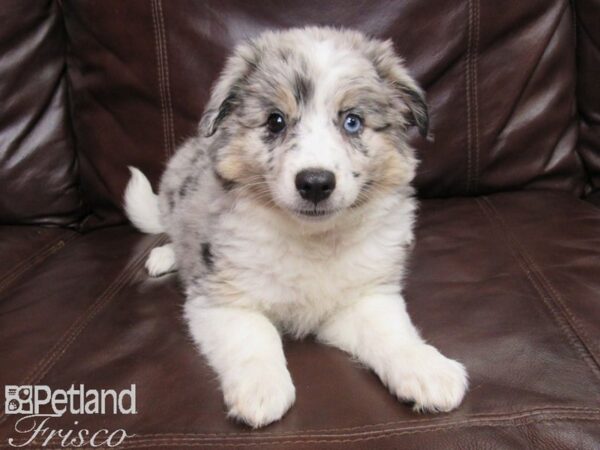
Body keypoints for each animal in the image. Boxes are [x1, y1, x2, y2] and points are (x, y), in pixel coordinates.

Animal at [123, 26, 468, 428]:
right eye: (275, 121)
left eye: (352, 121)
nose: (315, 183)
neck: (312, 239)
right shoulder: (222, 297)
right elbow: (254, 336)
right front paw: (261, 389)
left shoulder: (363, 297)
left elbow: (391, 333)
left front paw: (428, 370)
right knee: (170, 230)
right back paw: (164, 256)